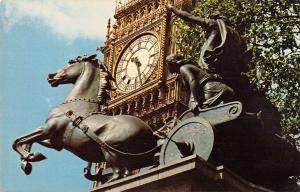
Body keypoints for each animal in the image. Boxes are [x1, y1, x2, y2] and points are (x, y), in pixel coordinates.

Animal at [12, 54, 158, 182]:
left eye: (70, 62)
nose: (50, 76)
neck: (76, 103)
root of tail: (149, 132)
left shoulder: (47, 129)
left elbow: (18, 140)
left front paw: (29, 158)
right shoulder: (55, 142)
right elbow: (29, 141)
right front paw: (28, 160)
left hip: (110, 148)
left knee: (120, 173)